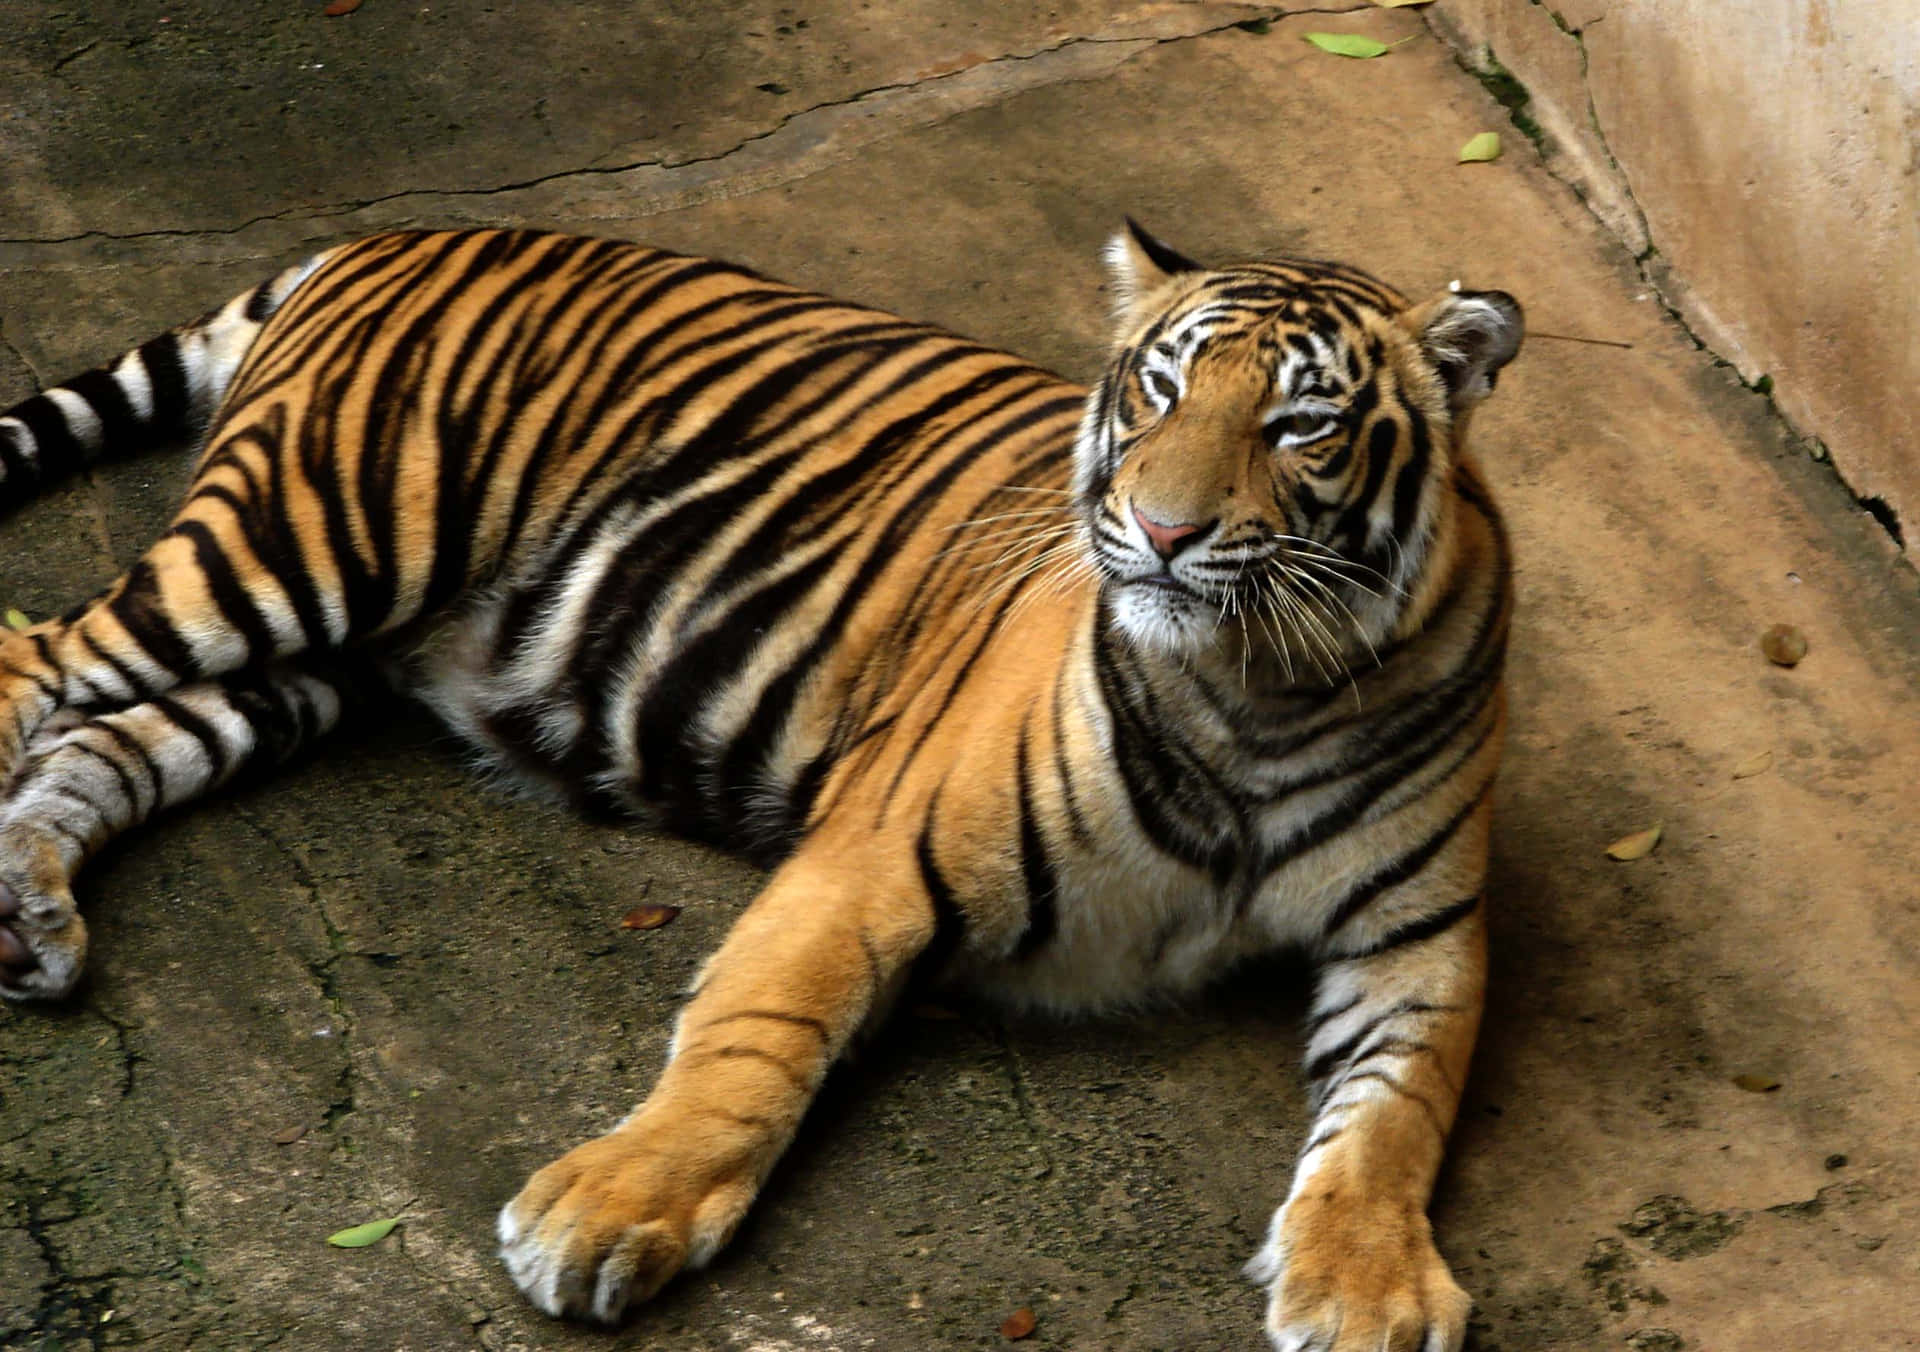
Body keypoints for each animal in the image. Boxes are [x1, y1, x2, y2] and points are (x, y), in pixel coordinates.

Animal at [0, 222, 1519, 1350]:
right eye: (1159, 391)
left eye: (1303, 423)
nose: (1157, 529)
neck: (1260, 687)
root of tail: (383, 232)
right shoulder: (875, 853)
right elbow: (755, 1038)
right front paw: (605, 1214)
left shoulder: (1422, 938)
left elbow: (1396, 1112)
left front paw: (1368, 1288)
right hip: (300, 552)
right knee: (35, 663)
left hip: (312, 668)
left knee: (100, 742)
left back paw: (30, 915)